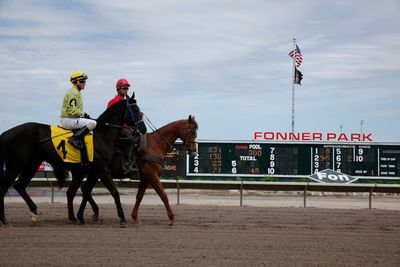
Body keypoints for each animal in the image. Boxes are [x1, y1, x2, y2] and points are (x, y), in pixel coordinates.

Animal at [0, 96, 144, 228]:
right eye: (136, 110)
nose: (143, 129)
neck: (103, 135)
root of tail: (5, 133)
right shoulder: (102, 169)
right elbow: (113, 191)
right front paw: (122, 219)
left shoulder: (93, 171)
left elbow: (86, 192)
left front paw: (80, 216)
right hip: (15, 165)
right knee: (5, 187)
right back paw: (5, 220)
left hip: (32, 164)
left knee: (20, 185)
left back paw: (35, 213)